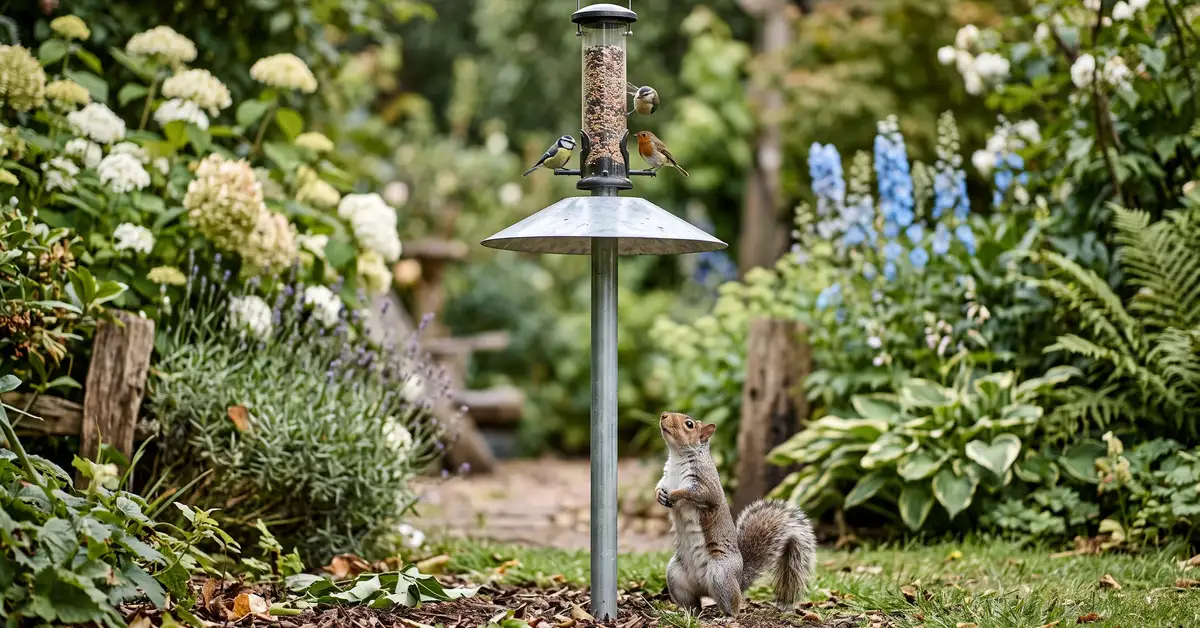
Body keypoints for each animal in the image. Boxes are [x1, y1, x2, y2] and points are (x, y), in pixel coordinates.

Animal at [654, 411, 817, 616]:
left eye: (689, 424)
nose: (663, 415)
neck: (677, 457)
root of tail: (739, 580)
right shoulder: (665, 478)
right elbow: (659, 487)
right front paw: (659, 496)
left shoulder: (706, 484)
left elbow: (696, 494)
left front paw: (676, 495)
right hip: (675, 575)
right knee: (693, 604)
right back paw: (686, 614)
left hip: (721, 574)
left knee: (734, 605)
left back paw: (726, 617)